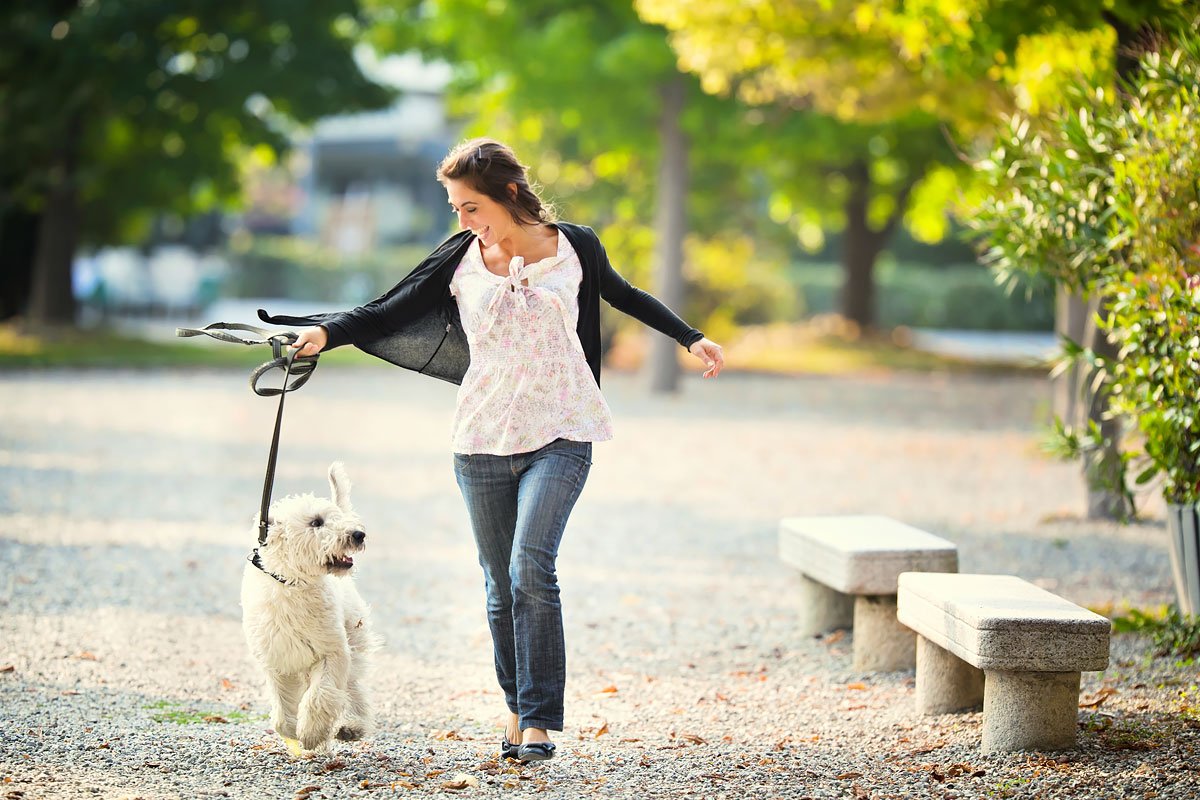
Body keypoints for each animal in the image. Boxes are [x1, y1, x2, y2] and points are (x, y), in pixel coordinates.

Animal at [240, 462, 379, 753]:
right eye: (316, 522)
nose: (358, 534)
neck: (293, 584)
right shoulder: (276, 660)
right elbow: (282, 712)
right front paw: (292, 731)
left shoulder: (331, 652)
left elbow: (321, 695)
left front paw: (312, 732)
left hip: (353, 640)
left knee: (352, 689)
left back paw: (351, 726)